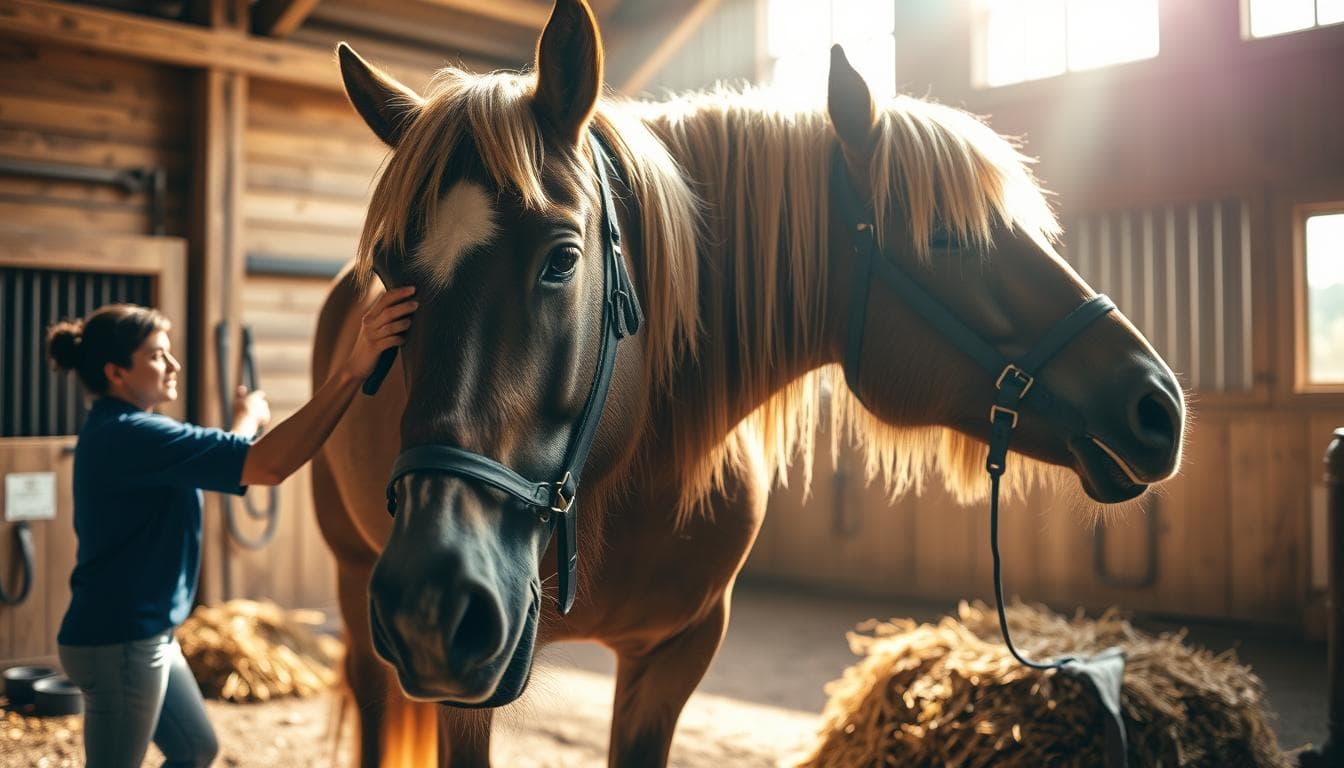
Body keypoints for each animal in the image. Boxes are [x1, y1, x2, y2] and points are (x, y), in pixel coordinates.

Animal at [309, 1, 1186, 765]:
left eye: (563, 258)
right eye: (946, 237)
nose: (1156, 404)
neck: (630, 465)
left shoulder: (674, 656)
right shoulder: (467, 691)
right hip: (358, 588)